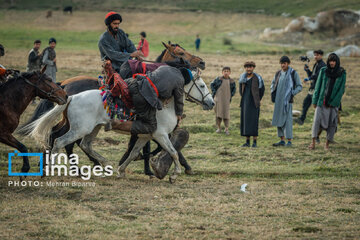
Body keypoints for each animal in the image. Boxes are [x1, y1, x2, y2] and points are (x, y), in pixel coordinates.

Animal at [24, 70, 214, 183]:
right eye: (202, 85)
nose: (211, 103)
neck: (165, 104)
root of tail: (72, 96)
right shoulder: (160, 135)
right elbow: (173, 152)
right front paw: (174, 174)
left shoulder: (145, 136)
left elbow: (134, 153)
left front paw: (121, 170)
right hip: (79, 129)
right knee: (59, 142)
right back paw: (50, 169)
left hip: (93, 128)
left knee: (83, 144)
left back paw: (103, 163)